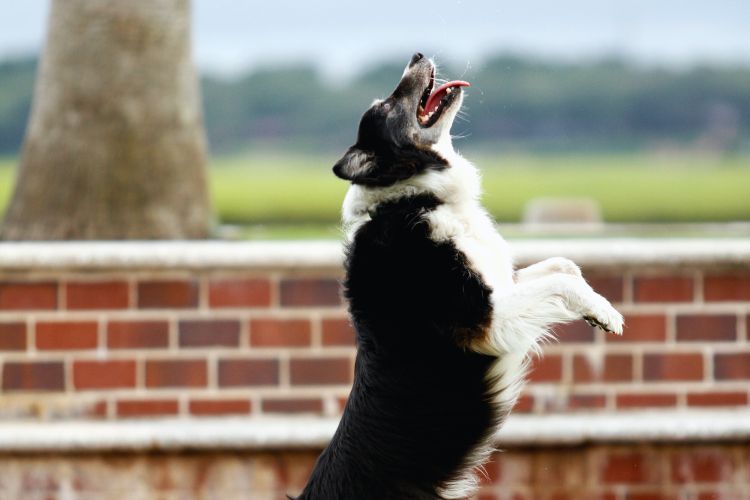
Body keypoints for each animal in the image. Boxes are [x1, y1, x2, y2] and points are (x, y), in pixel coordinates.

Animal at [296, 53, 624, 500]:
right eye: (387, 104)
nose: (417, 55)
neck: (416, 196)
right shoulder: (484, 321)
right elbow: (560, 280)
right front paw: (609, 314)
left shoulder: (498, 286)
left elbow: (563, 266)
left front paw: (595, 309)